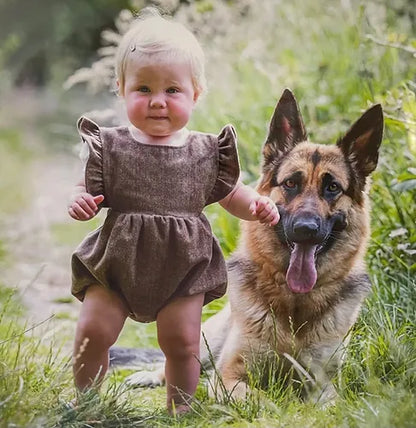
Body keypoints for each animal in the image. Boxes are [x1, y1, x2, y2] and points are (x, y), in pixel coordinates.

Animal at [114, 88, 384, 404]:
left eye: (332, 188)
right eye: (290, 183)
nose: (305, 229)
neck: (294, 305)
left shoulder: (324, 385)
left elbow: (326, 403)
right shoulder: (229, 376)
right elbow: (263, 401)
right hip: (204, 341)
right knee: (173, 363)